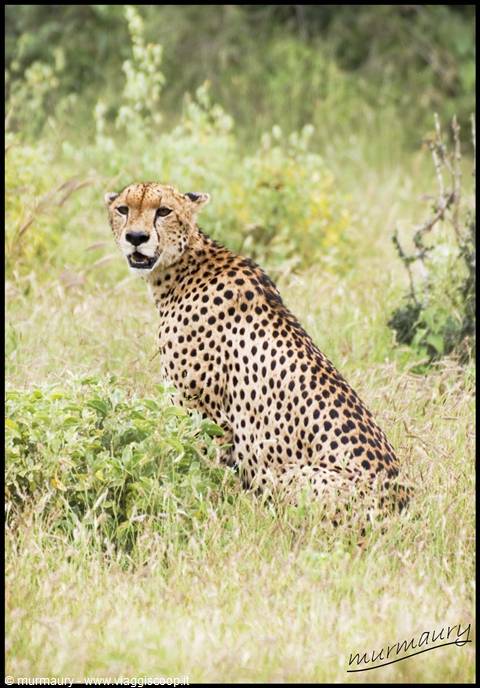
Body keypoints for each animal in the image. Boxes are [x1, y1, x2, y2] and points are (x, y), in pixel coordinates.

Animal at [105, 181, 411, 513]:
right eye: (123, 209)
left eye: (163, 211)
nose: (136, 237)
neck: (183, 268)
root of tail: (403, 501)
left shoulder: (206, 413)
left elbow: (199, 469)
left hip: (293, 477)